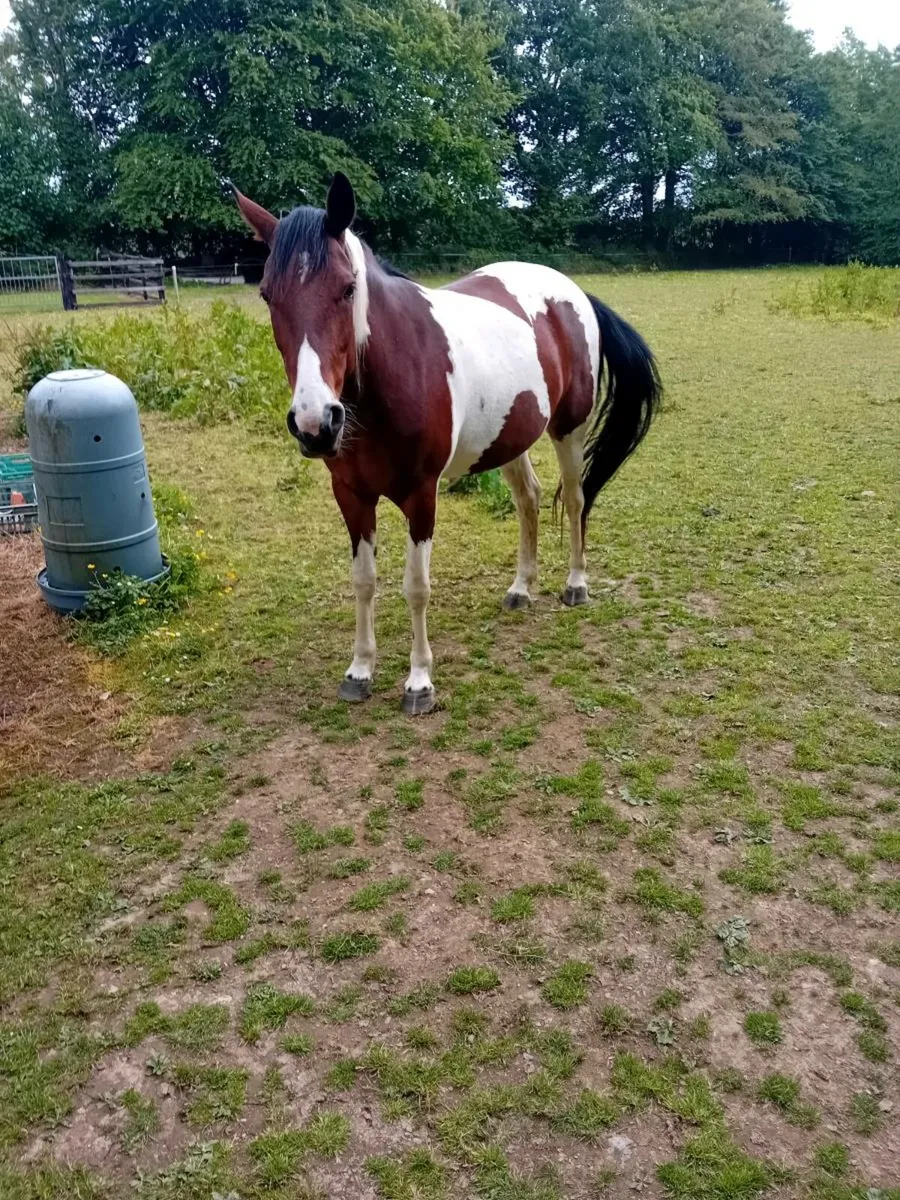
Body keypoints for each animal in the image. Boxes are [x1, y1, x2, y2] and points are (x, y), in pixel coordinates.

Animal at [234, 173, 661, 715]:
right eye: (268, 295)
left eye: (347, 288)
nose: (315, 423)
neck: (388, 380)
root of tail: (572, 291)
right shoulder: (351, 496)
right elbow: (363, 581)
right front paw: (360, 670)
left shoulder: (421, 495)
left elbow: (416, 587)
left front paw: (419, 681)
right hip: (510, 438)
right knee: (529, 499)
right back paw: (521, 588)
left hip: (570, 429)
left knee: (575, 497)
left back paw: (575, 584)